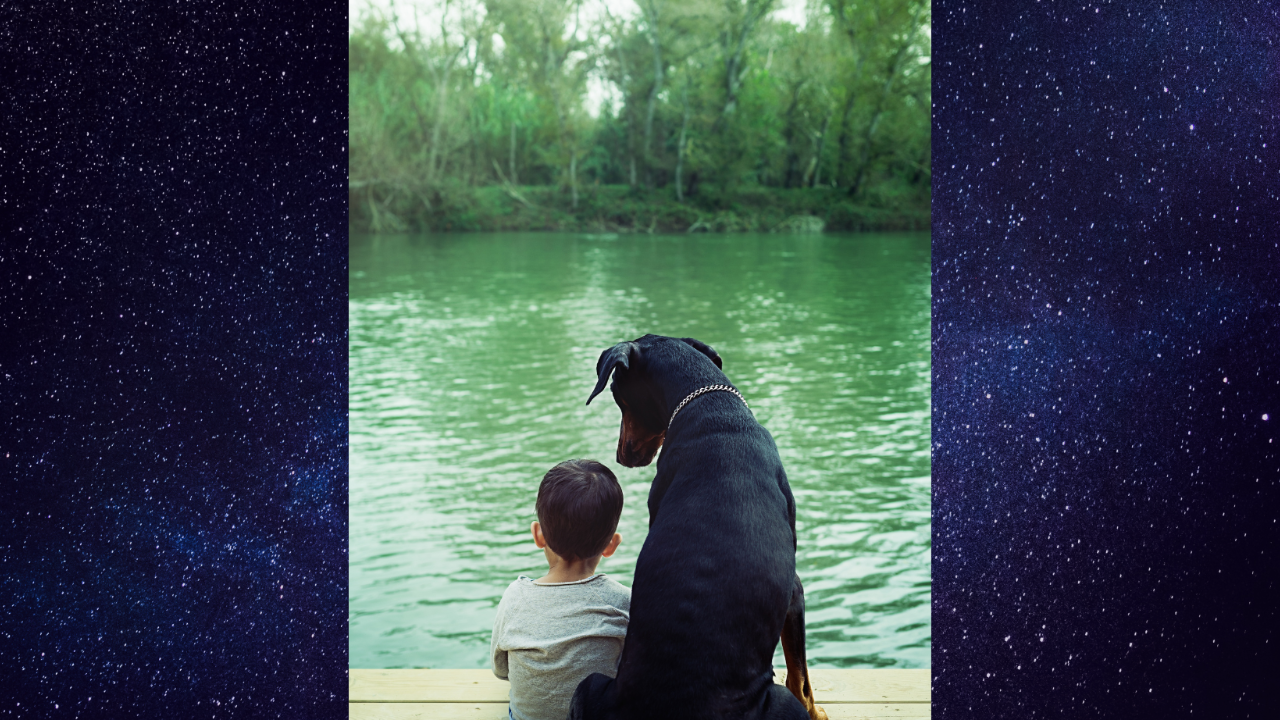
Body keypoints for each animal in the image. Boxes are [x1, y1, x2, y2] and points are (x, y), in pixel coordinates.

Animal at [573, 333, 829, 717]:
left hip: (587, 686)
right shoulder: (794, 590)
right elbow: (801, 681)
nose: (621, 455)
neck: (712, 405)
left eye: (620, 399)